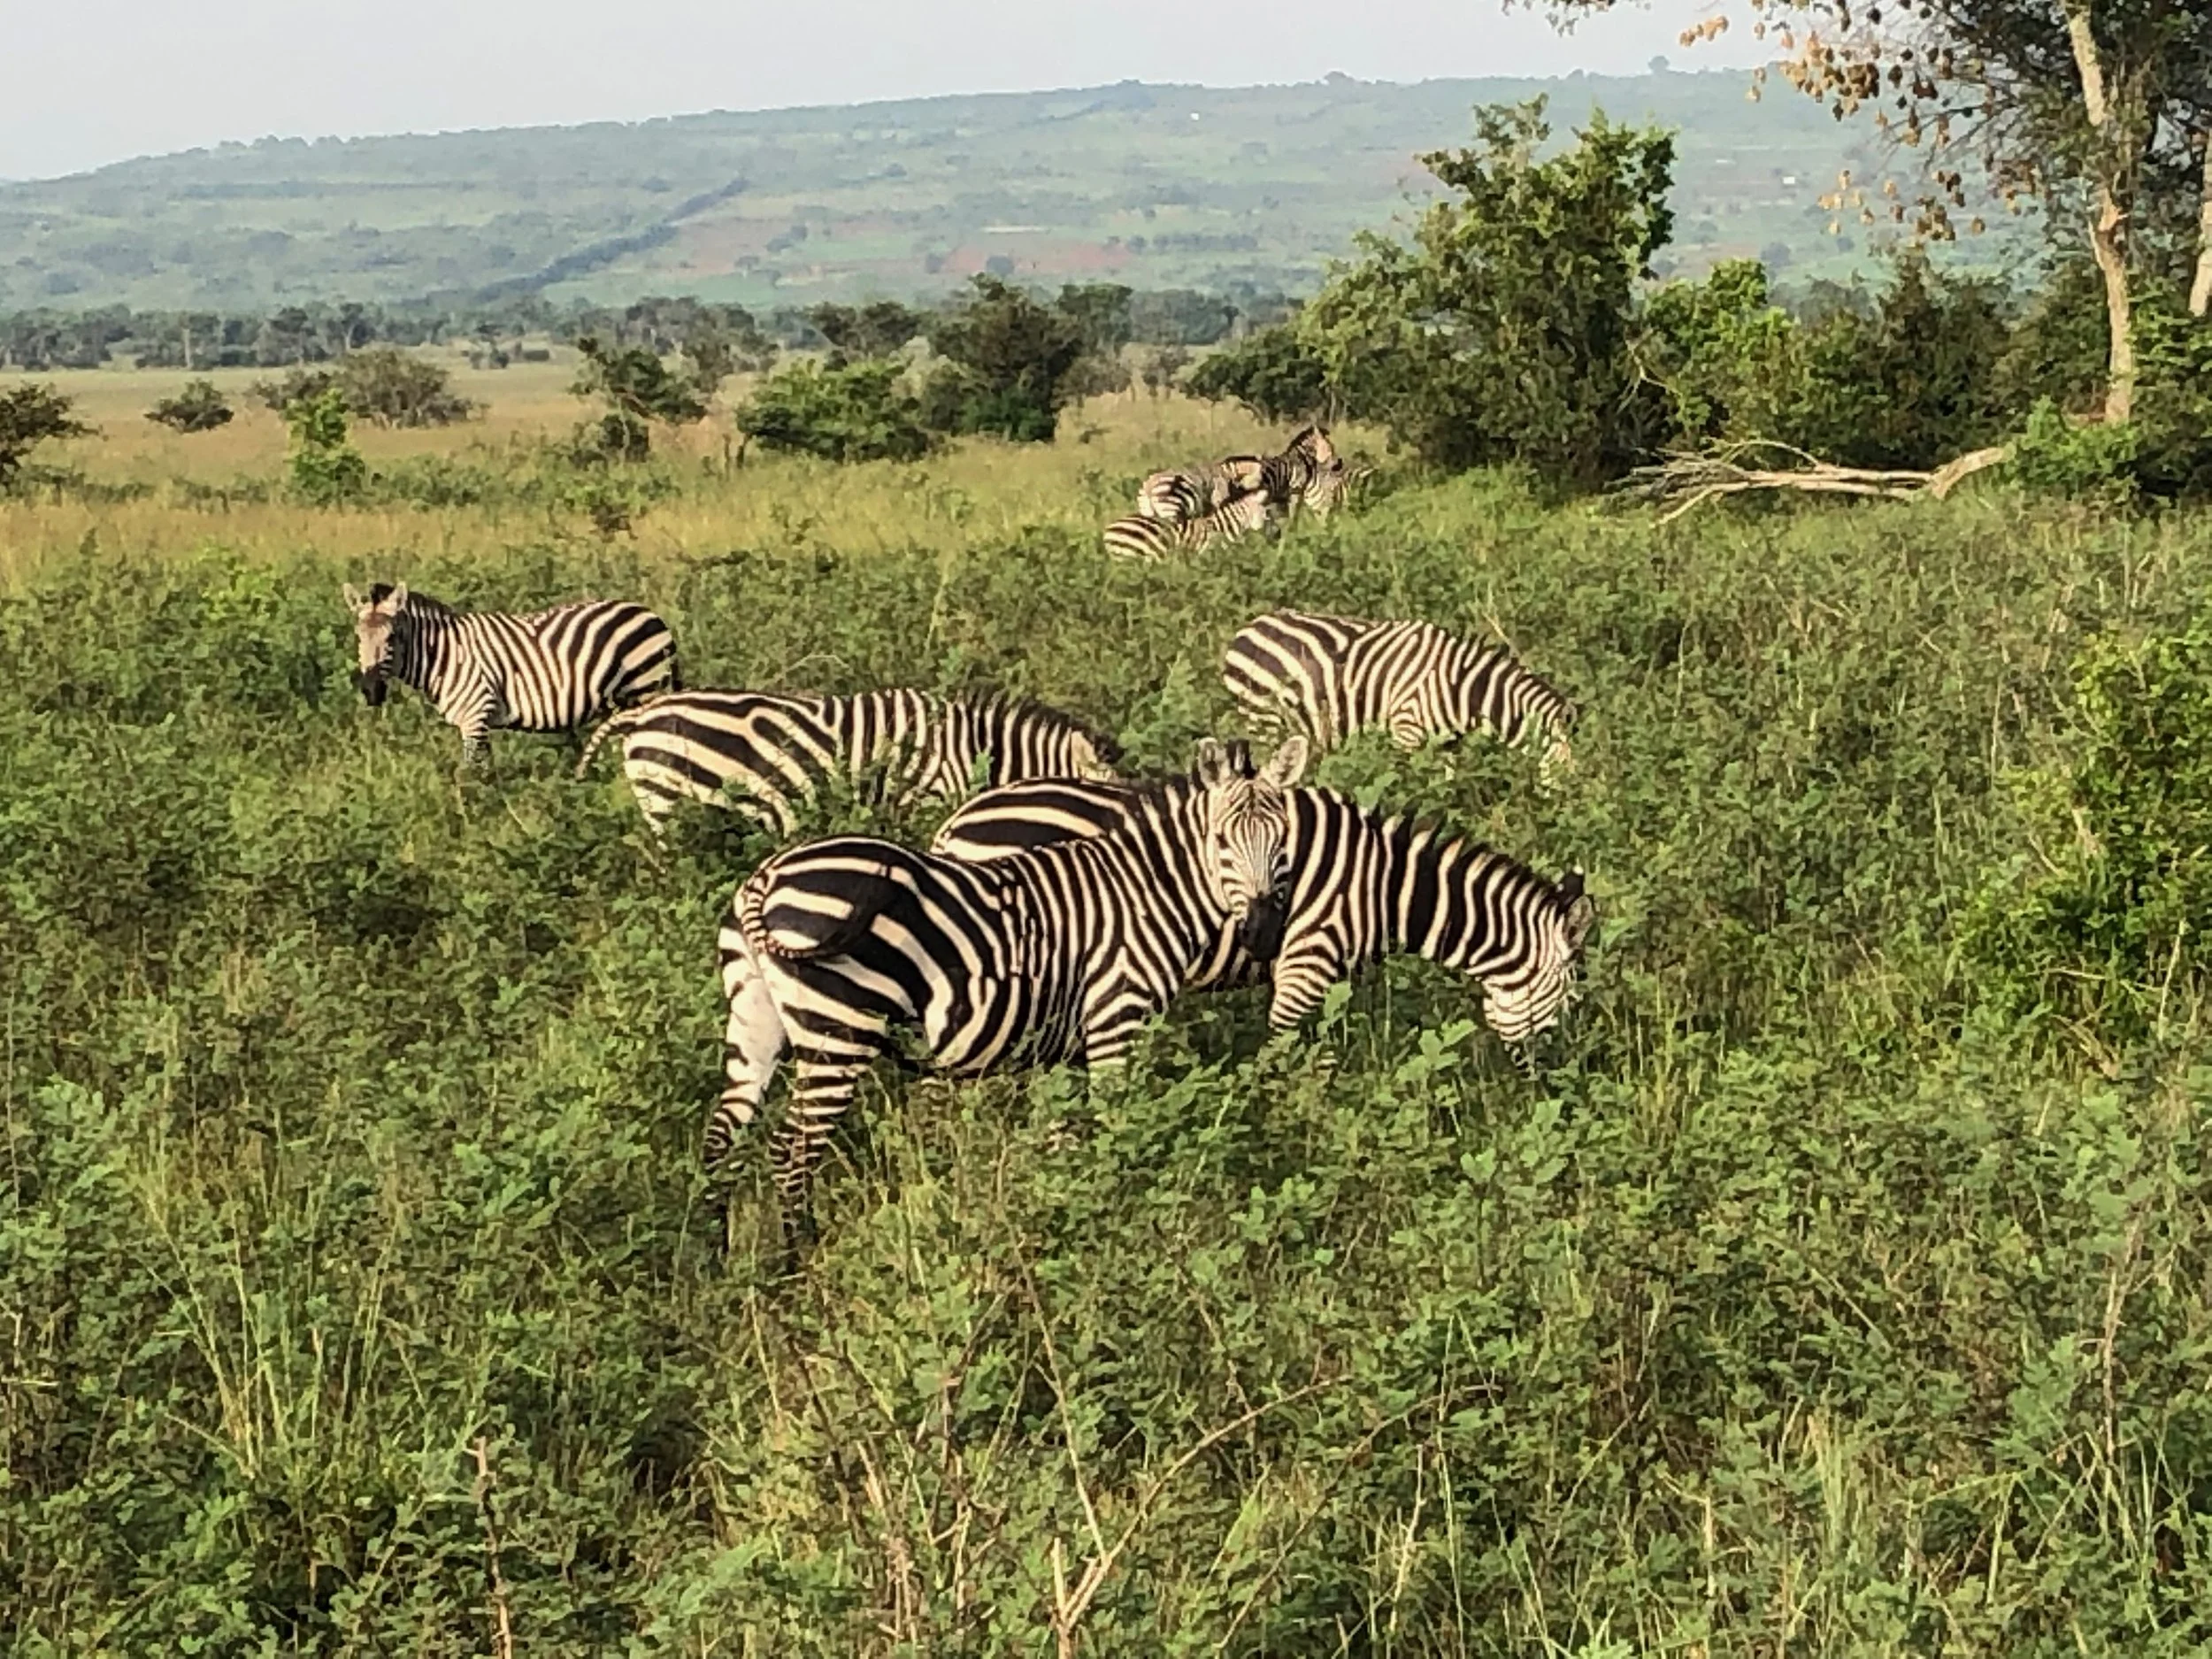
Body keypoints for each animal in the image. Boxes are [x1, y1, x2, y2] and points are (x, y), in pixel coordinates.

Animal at [344, 582, 677, 763]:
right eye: (358, 637)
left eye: (392, 637)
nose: (371, 691)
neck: (445, 655)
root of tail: (651, 615)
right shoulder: (479, 721)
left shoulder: (475, 715)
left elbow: (471, 776)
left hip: (648, 689)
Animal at [713, 736, 1309, 1251]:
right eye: (1222, 841)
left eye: (1283, 841)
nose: (1263, 933)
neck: (1149, 893)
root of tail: (766, 877)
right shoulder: (1117, 1016)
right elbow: (1117, 1129)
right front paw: (1118, 1219)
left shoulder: (1061, 1042)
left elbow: (1062, 1134)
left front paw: (1065, 1211)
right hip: (838, 1032)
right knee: (791, 1150)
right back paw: (800, 1256)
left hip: (755, 1020)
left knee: (725, 1134)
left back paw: (718, 1255)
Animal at [930, 773, 1597, 1067]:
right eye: (1571, 997)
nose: (1562, 1077)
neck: (1384, 884)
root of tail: (957, 823)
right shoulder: (1306, 957)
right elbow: (1282, 1045)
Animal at [1222, 610, 1579, 784]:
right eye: (1568, 772)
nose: (1573, 813)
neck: (1461, 688)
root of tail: (1247, 628)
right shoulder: (1406, 730)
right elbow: (1410, 786)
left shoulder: (1448, 743)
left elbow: (1446, 786)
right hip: (1263, 721)